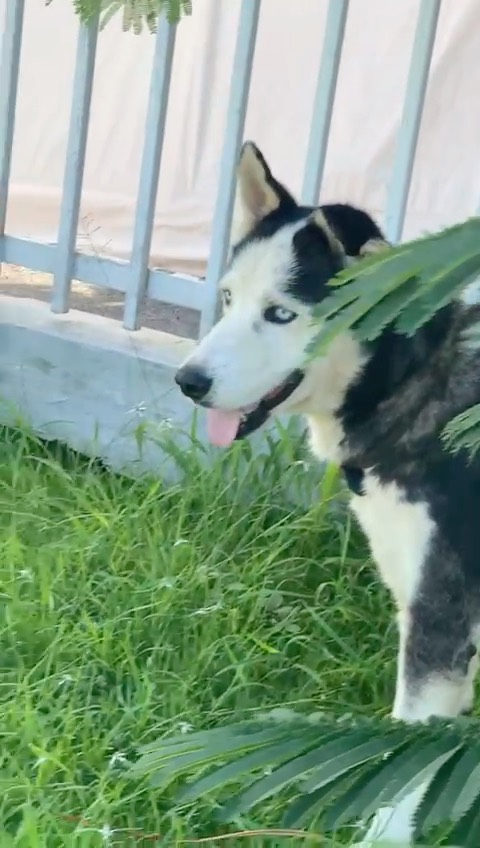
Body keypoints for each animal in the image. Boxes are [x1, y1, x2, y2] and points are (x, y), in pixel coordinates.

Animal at [174, 142, 480, 844]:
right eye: (227, 298)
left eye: (281, 313)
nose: (188, 381)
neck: (415, 381)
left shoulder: (441, 612)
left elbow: (411, 754)